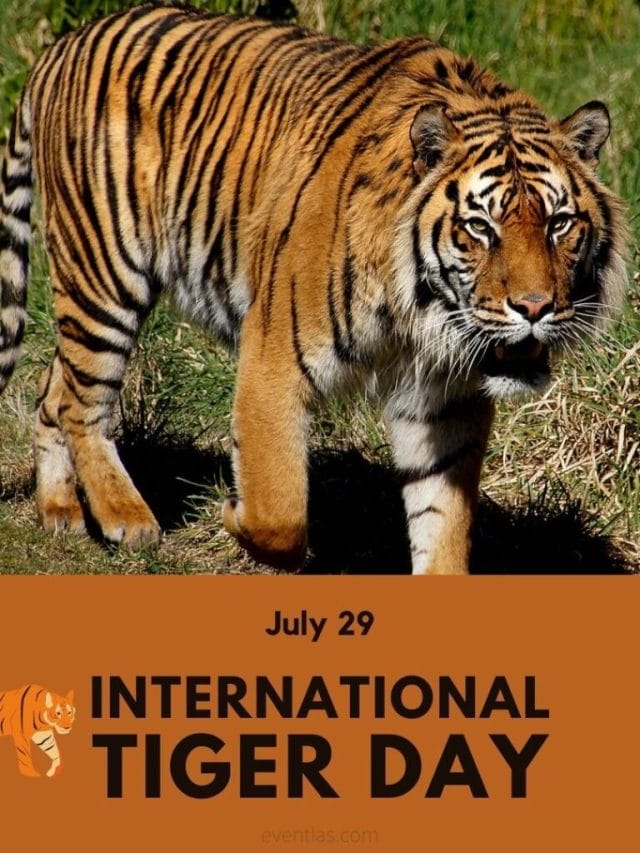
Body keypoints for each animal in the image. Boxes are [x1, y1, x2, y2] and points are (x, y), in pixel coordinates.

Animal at [0, 5, 629, 574]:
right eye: (480, 227)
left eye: (558, 224)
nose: (535, 307)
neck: (422, 316)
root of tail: (61, 46)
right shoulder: (273, 357)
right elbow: (279, 512)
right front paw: (230, 513)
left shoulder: (446, 402)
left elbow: (442, 525)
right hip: (105, 271)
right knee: (83, 402)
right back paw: (125, 518)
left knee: (54, 390)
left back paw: (60, 511)